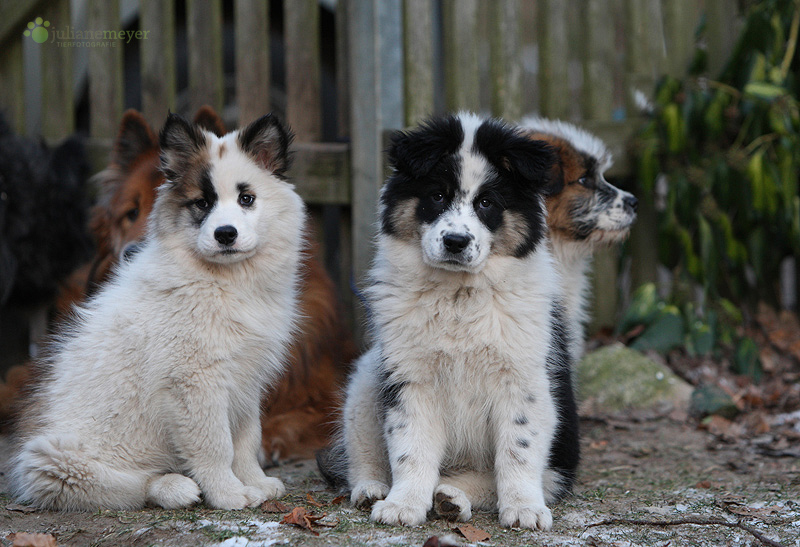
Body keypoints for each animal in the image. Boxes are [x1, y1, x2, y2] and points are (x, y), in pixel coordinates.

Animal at [10, 112, 304, 512]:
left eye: (247, 199)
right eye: (202, 204)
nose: (225, 234)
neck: (223, 281)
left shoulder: (246, 379)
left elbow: (247, 439)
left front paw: (255, 483)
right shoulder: (195, 381)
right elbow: (217, 445)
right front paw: (229, 494)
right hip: (54, 460)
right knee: (122, 483)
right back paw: (173, 486)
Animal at [316, 114, 580, 532]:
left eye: (487, 202)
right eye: (437, 196)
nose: (456, 242)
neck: (459, 296)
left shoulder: (524, 381)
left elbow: (518, 450)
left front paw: (524, 508)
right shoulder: (410, 379)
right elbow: (411, 448)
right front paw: (403, 504)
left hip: (560, 458)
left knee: (491, 477)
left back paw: (452, 497)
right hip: (366, 381)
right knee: (362, 450)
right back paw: (373, 488)